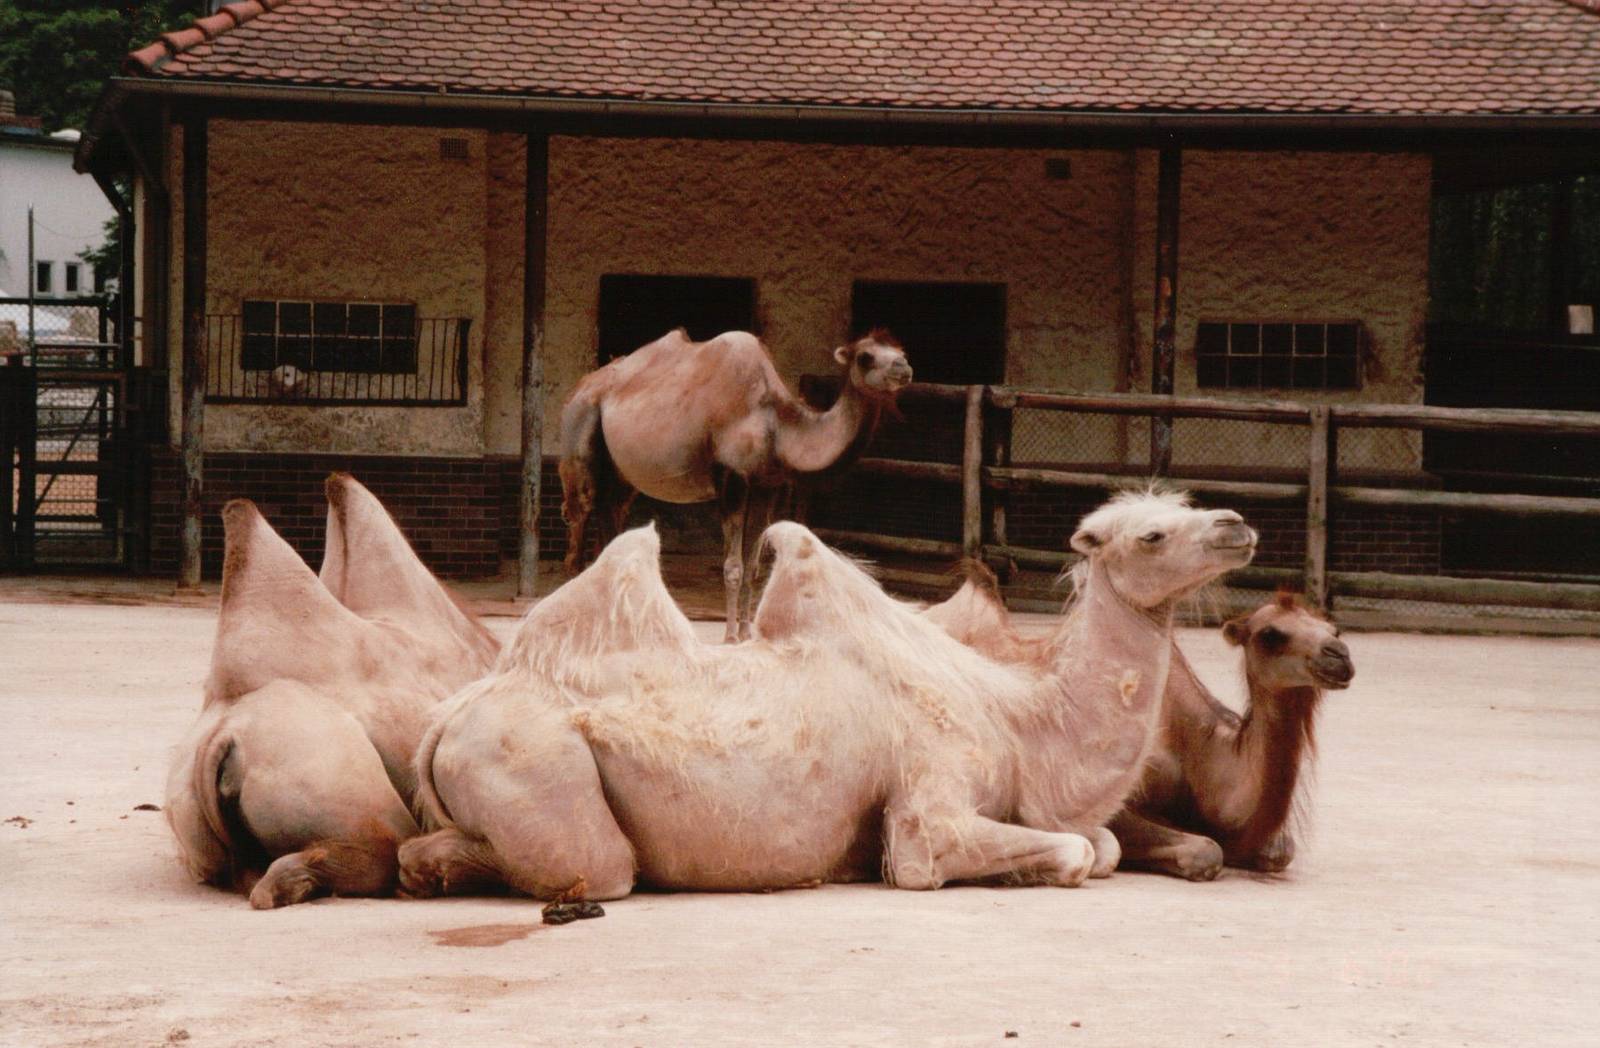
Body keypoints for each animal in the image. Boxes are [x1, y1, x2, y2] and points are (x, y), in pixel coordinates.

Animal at [397, 490, 1256, 901]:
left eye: (1185, 507)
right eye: (1150, 534)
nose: (1237, 525)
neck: (1021, 724)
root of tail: (443, 723)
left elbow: (1102, 843)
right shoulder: (930, 795)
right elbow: (1070, 850)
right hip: (535, 763)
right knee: (600, 867)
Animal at [558, 327, 911, 642]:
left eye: (901, 351)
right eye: (865, 356)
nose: (904, 369)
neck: (775, 425)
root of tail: (582, 385)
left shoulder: (766, 486)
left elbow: (754, 567)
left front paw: (746, 632)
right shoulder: (731, 479)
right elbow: (733, 566)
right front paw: (730, 635)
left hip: (621, 473)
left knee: (611, 512)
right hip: (580, 429)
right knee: (580, 512)